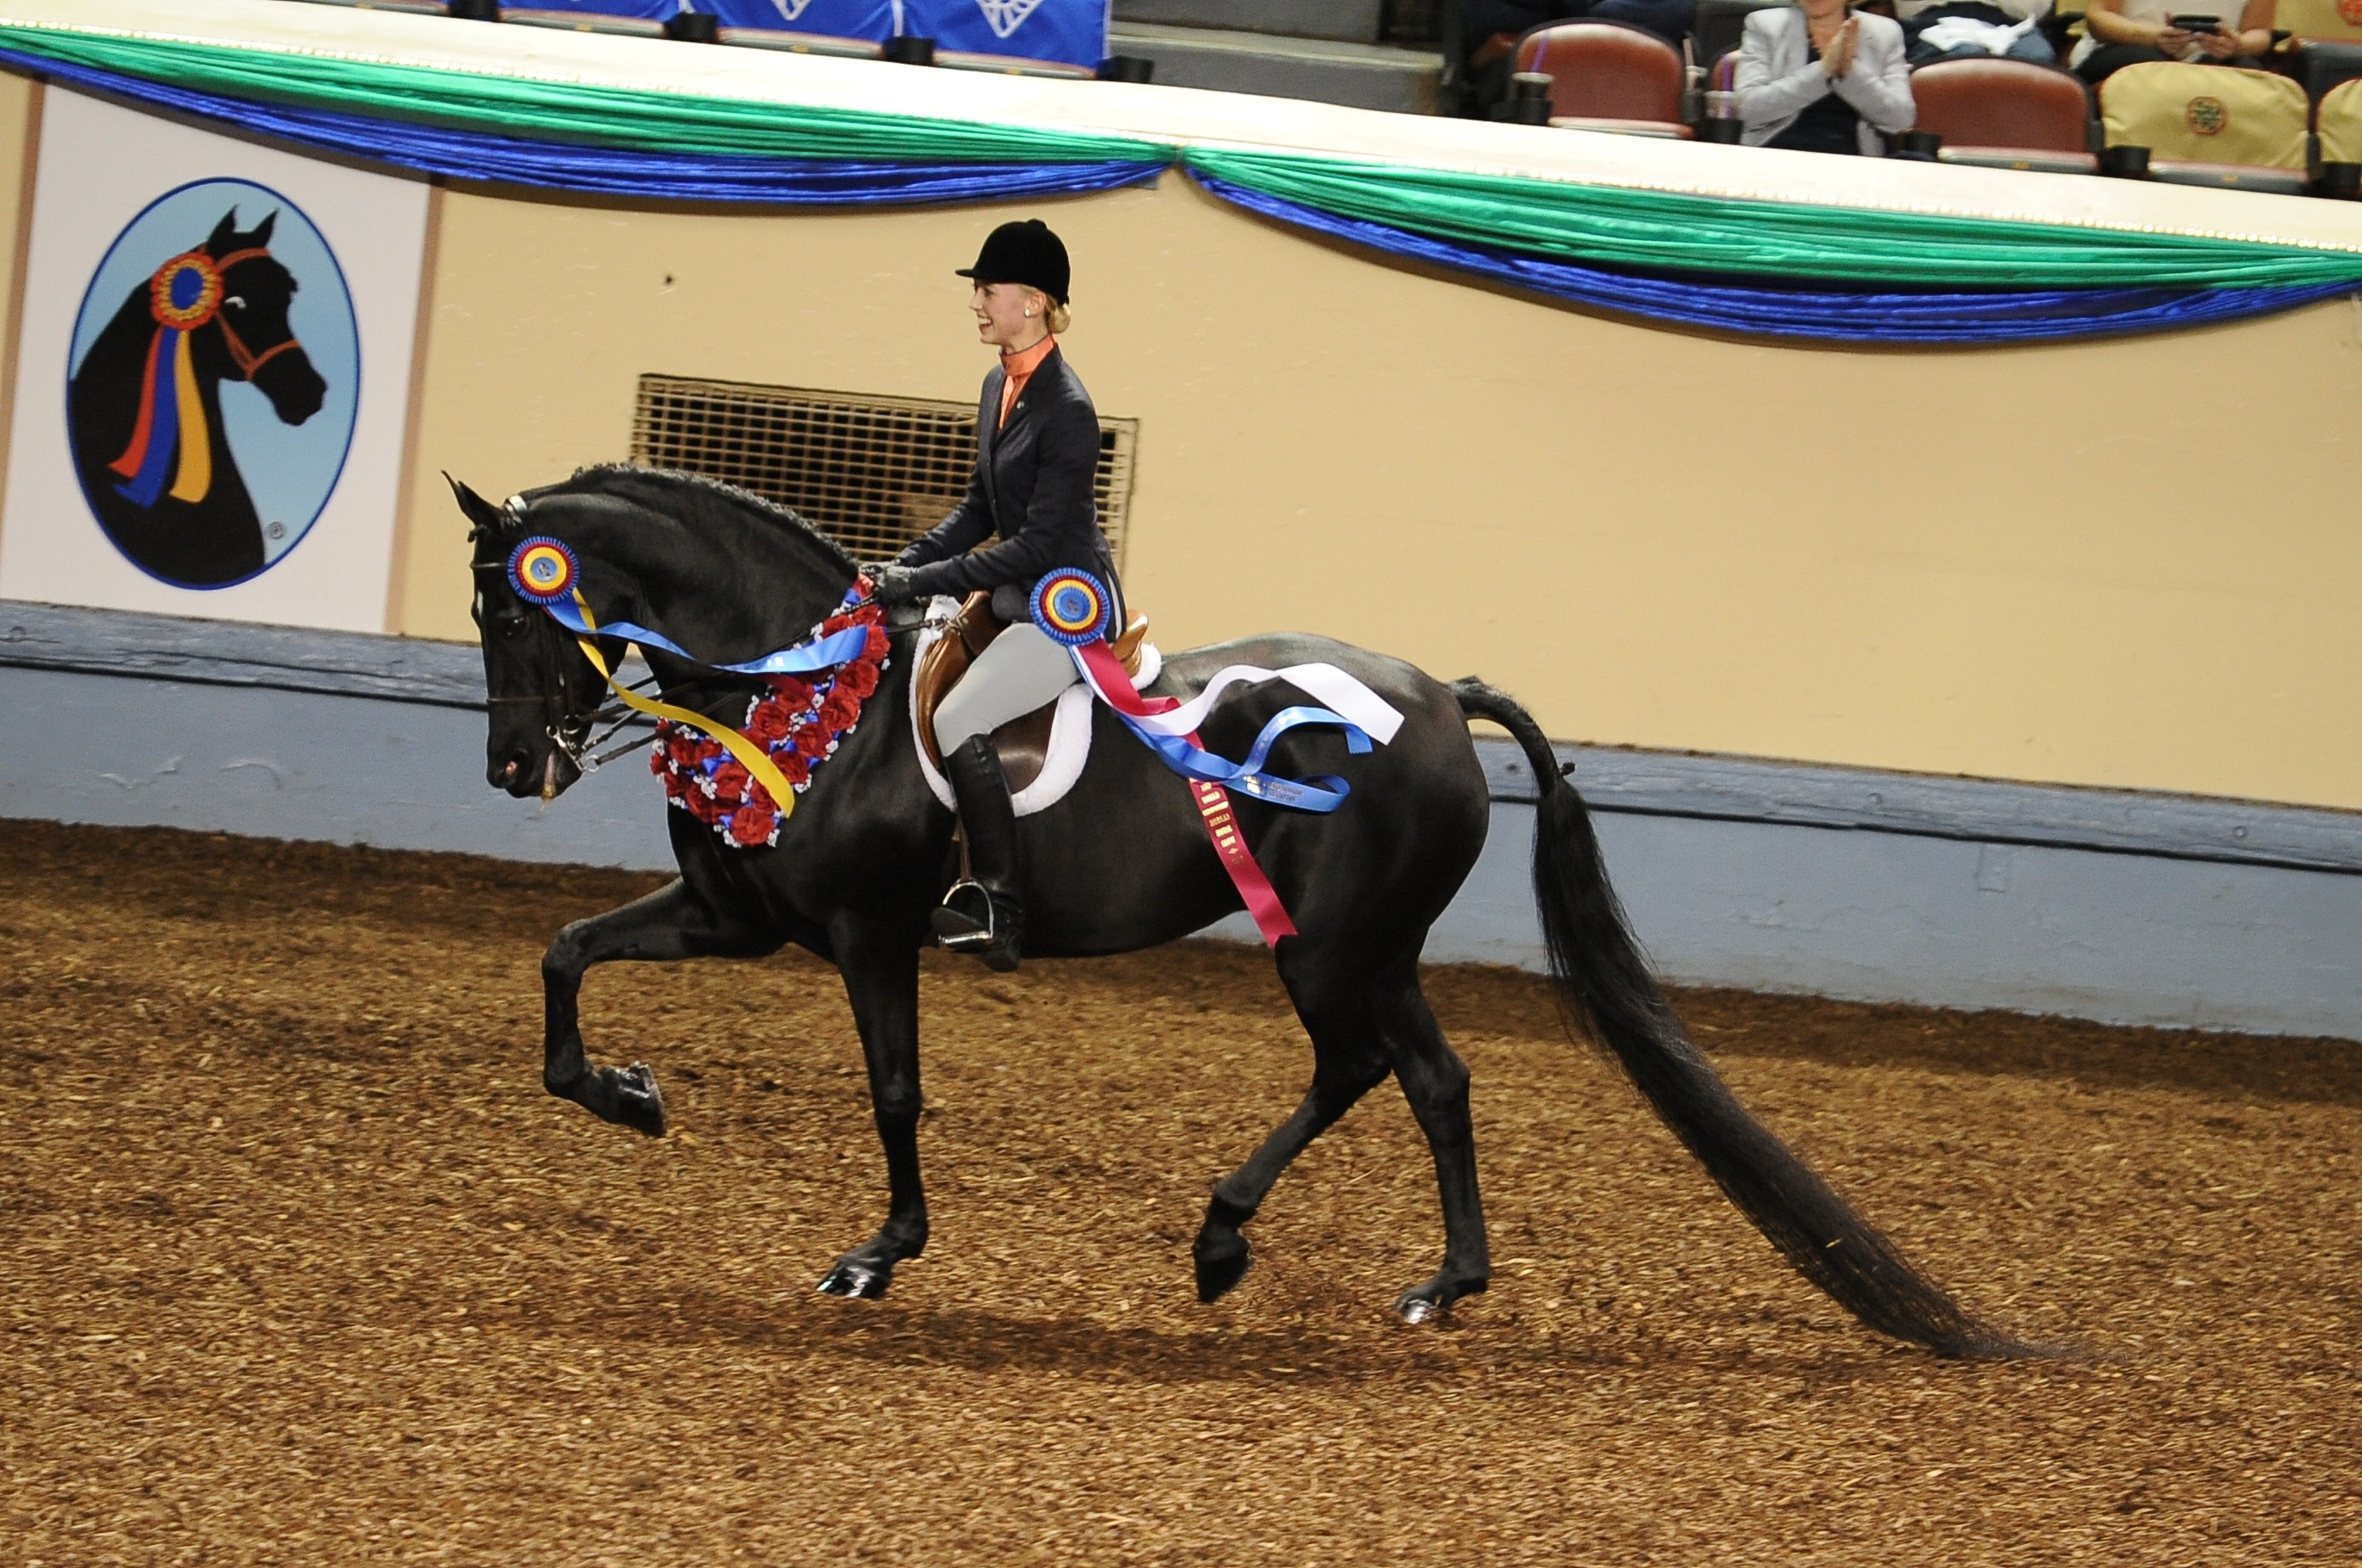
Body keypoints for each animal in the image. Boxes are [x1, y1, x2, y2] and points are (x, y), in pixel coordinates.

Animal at [454, 464, 2025, 1357]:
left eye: (516, 609)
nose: (515, 769)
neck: (792, 692)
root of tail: (1435, 698)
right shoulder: (734, 912)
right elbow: (563, 955)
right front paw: (630, 1097)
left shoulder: (864, 936)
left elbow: (893, 1091)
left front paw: (875, 1254)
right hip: (1368, 944)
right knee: (1430, 1076)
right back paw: (1433, 1284)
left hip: (1326, 942)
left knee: (1363, 1065)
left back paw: (1226, 1241)